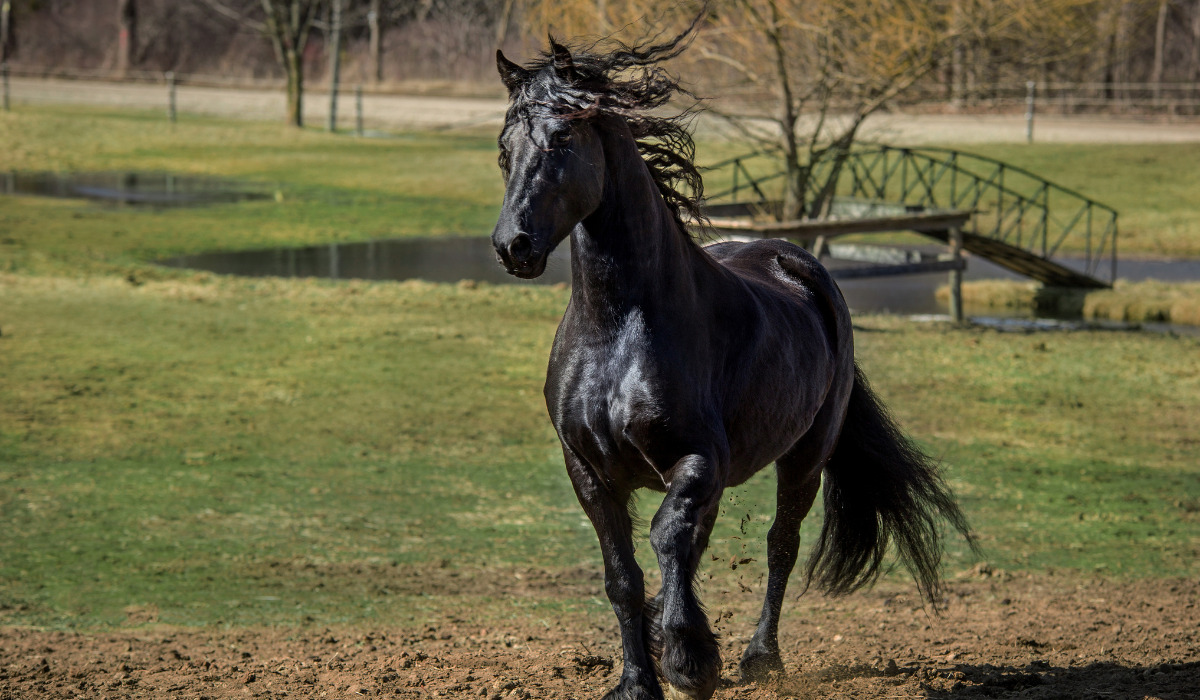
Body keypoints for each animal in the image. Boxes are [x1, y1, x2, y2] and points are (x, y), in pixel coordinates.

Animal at [487, 24, 974, 700]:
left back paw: (758, 657)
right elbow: (623, 574)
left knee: (779, 545)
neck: (617, 332)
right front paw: (639, 678)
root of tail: (794, 260)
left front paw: (690, 661)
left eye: (562, 137)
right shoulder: (588, 471)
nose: (514, 246)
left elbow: (667, 537)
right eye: (503, 147)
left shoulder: (698, 460)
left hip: (804, 458)